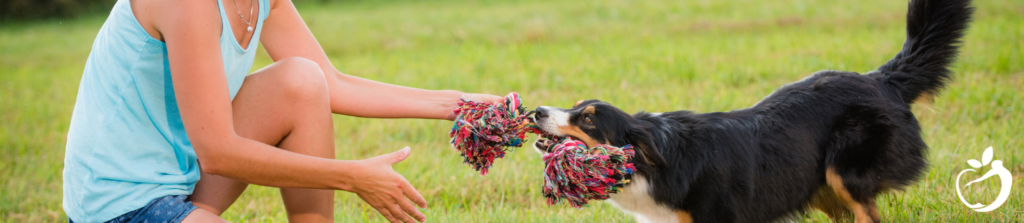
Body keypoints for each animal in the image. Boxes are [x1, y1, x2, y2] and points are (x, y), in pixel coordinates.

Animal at [532, 0, 970, 221]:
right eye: (574, 106)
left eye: (588, 118)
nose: (536, 110)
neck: (657, 161)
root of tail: (881, 78)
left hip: (845, 170)